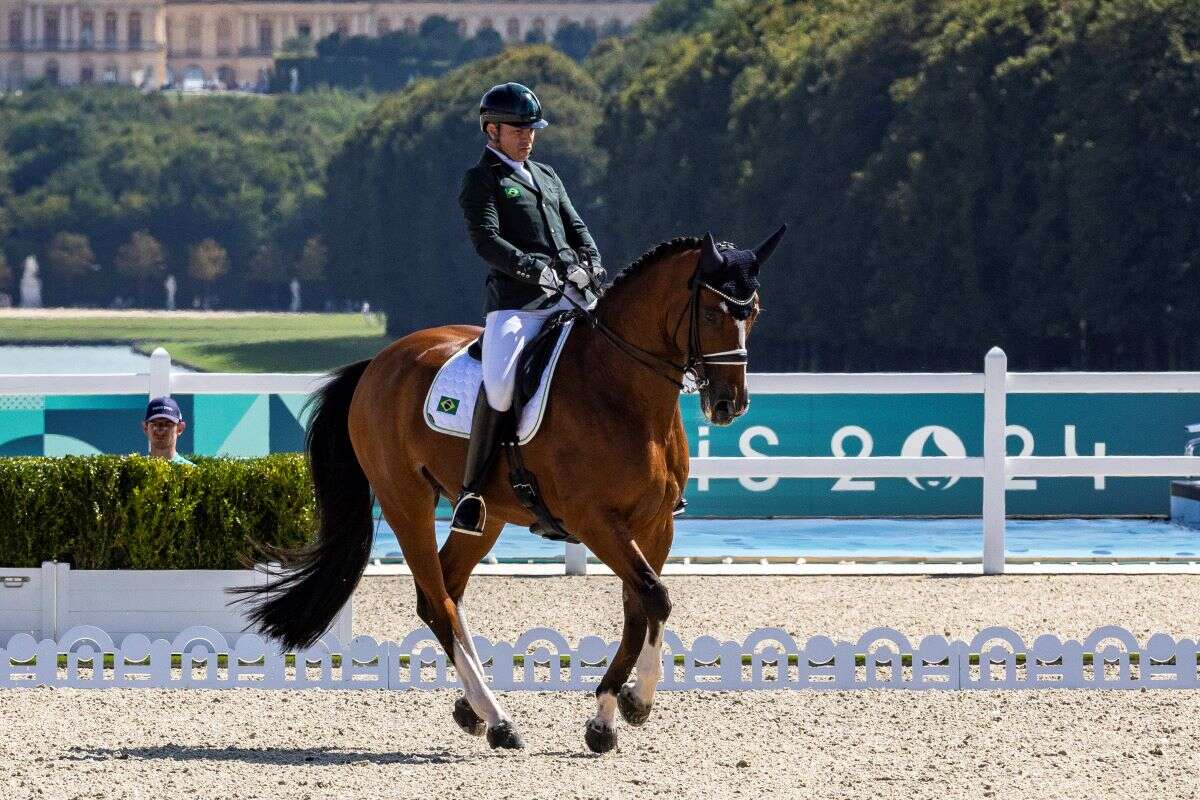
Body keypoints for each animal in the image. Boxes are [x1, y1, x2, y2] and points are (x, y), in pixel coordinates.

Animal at [235, 227, 787, 753]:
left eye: (755, 312)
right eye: (713, 312)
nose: (729, 405)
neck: (622, 391)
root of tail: (378, 362)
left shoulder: (656, 524)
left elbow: (640, 608)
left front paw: (608, 717)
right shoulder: (595, 522)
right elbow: (655, 596)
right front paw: (635, 703)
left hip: (487, 516)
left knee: (448, 590)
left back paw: (473, 709)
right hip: (405, 502)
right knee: (438, 601)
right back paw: (498, 720)